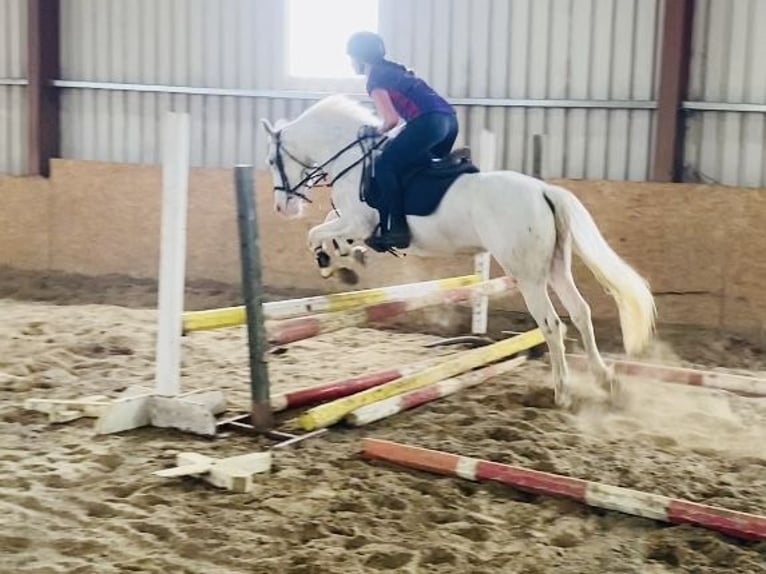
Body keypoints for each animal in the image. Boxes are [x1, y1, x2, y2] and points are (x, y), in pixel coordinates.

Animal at [260, 95, 656, 410]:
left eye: (271, 161)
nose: (282, 207)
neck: (354, 162)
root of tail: (544, 190)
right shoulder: (355, 223)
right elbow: (329, 228)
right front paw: (344, 259)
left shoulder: (359, 221)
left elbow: (315, 232)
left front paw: (332, 262)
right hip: (557, 267)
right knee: (580, 313)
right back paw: (606, 380)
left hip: (528, 276)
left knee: (551, 324)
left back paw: (562, 393)